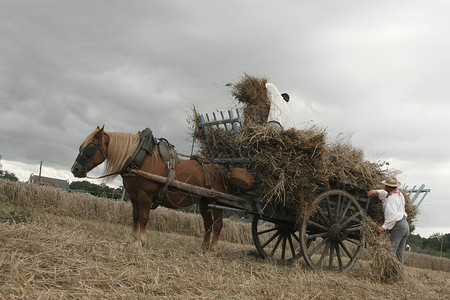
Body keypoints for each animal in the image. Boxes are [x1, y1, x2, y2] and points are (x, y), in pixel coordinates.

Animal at [72, 125, 230, 252]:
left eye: (89, 148)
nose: (75, 169)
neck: (139, 159)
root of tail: (221, 169)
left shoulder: (145, 196)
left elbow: (144, 217)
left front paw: (140, 241)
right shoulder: (134, 196)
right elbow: (135, 216)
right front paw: (131, 239)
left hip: (217, 202)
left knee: (218, 225)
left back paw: (212, 250)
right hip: (204, 202)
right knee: (208, 224)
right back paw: (203, 248)